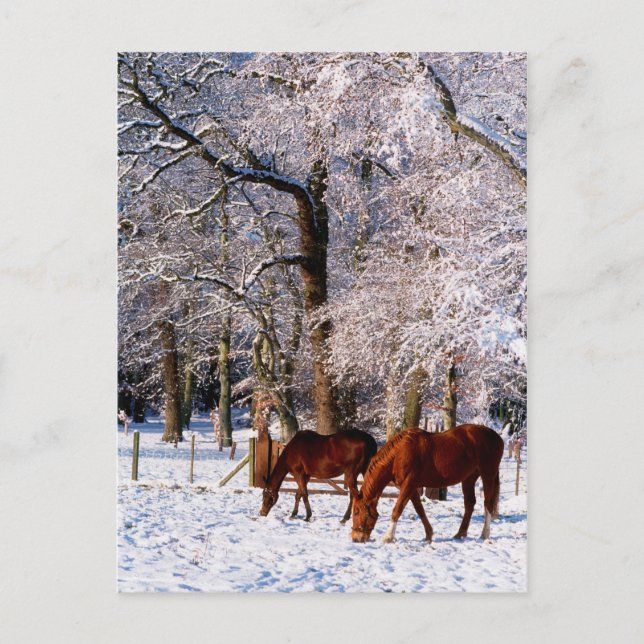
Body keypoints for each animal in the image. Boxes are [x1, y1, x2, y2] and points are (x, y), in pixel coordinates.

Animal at [351, 424, 504, 543]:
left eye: (356, 511)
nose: (355, 538)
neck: (399, 454)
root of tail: (497, 437)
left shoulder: (408, 485)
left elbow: (397, 509)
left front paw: (388, 537)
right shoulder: (410, 488)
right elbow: (420, 510)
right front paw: (429, 534)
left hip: (488, 474)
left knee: (488, 503)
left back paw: (484, 534)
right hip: (469, 478)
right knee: (470, 504)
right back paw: (460, 534)